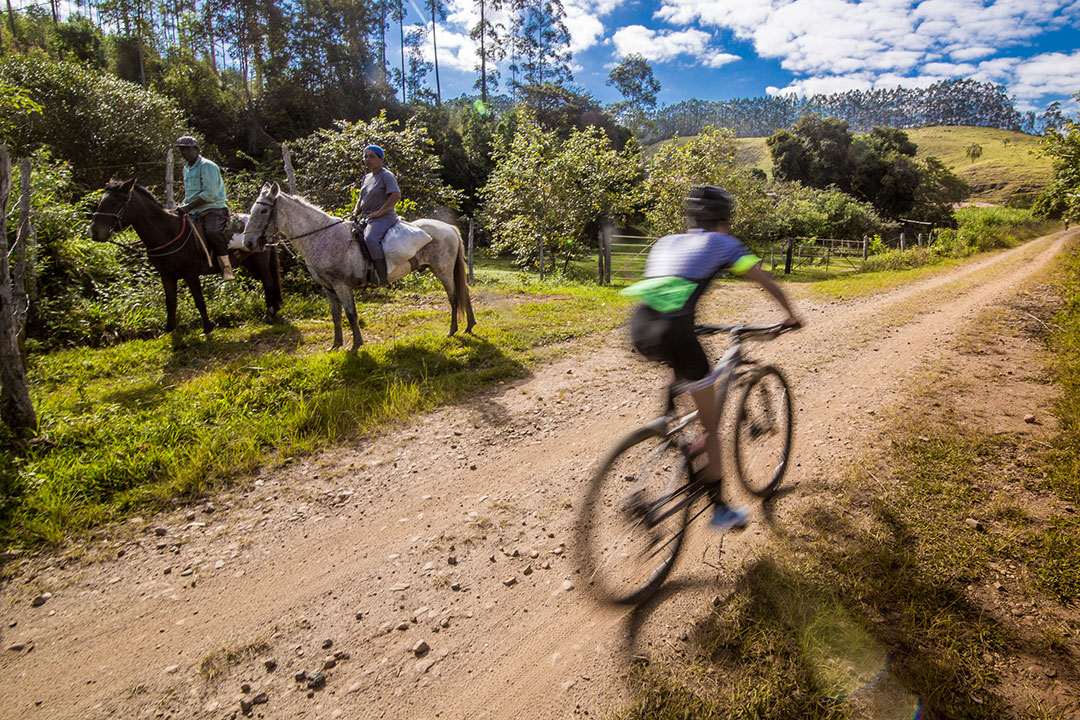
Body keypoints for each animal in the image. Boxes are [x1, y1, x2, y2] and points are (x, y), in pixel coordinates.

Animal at [89, 180, 282, 338]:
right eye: (101, 202)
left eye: (114, 202)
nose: (94, 232)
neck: (167, 233)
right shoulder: (166, 276)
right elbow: (170, 302)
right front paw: (169, 329)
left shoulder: (190, 273)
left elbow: (199, 300)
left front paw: (207, 328)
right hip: (249, 263)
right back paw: (273, 310)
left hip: (260, 261)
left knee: (268, 282)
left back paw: (269, 315)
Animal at [248, 184, 477, 349]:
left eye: (263, 210)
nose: (249, 243)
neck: (323, 237)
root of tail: (449, 228)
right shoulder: (328, 287)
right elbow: (336, 316)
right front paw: (336, 345)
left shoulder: (341, 285)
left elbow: (351, 314)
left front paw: (356, 345)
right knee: (464, 294)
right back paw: (469, 326)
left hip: (443, 271)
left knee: (454, 298)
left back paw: (453, 330)